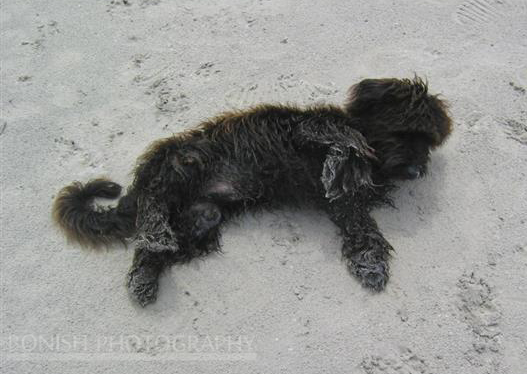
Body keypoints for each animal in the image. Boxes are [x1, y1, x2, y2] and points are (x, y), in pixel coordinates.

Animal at [51, 76, 452, 306]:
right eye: (405, 131)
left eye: (428, 142)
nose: (416, 170)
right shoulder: (306, 128)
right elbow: (339, 136)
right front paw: (342, 156)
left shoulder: (345, 204)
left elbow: (364, 230)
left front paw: (370, 263)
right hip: (182, 161)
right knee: (152, 207)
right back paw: (153, 233)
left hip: (201, 216)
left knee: (154, 250)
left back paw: (145, 278)